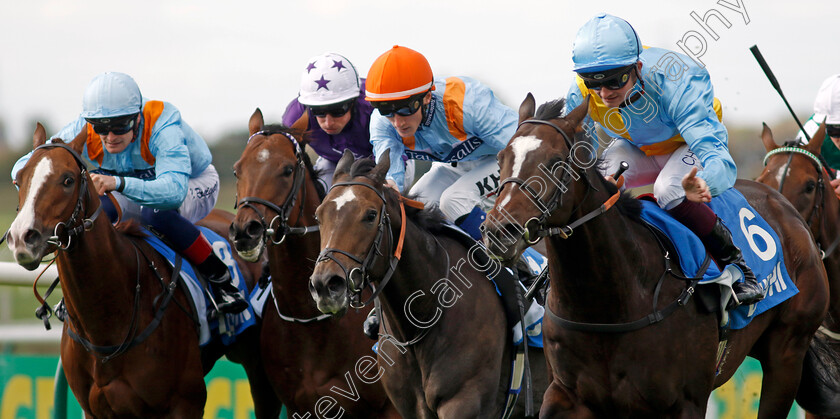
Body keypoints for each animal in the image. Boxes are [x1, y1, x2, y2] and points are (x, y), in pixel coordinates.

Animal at [6, 123, 280, 418]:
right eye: (18, 179)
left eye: (67, 180)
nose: (21, 237)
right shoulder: (95, 410)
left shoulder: (186, 403)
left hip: (258, 365)